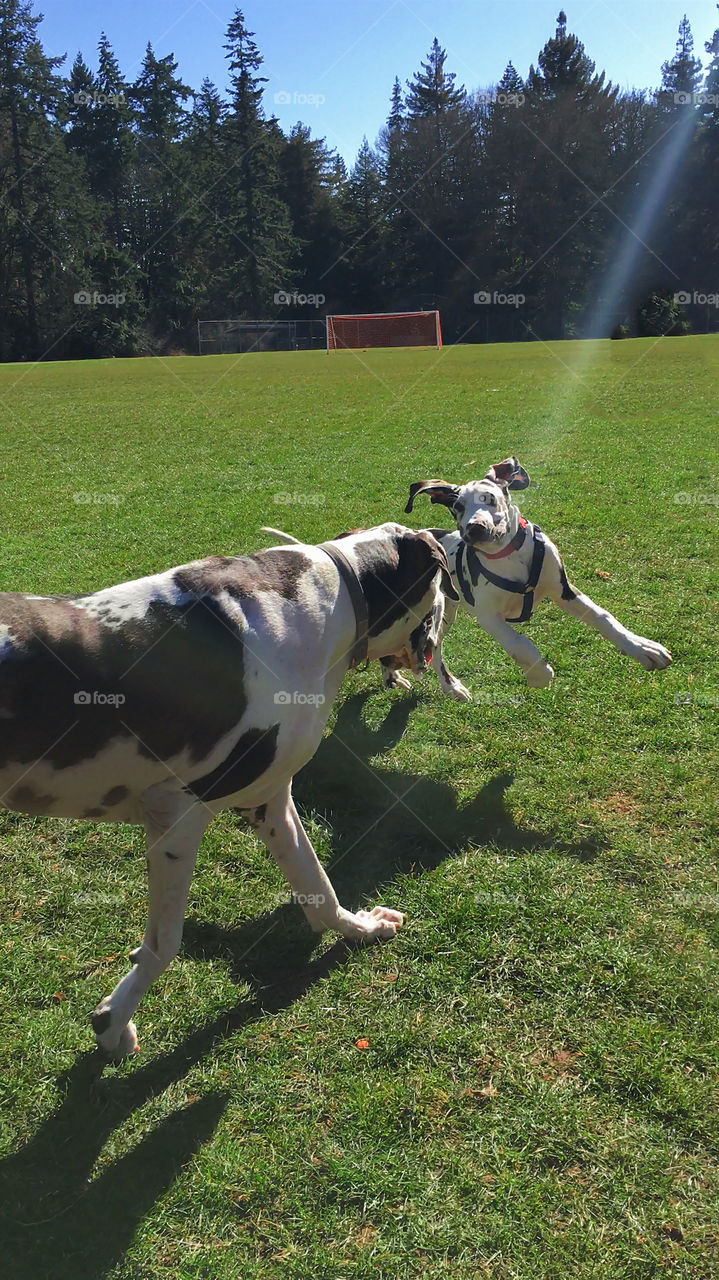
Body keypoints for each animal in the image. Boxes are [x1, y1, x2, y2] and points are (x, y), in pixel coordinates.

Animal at [0, 524, 452, 1054]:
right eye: (440, 586)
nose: (444, 627)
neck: (338, 589)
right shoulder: (177, 814)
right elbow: (164, 943)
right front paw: (114, 1020)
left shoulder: (271, 802)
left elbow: (317, 885)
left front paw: (357, 928)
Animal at [378, 458, 670, 701]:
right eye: (457, 507)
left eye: (489, 498)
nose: (474, 528)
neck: (509, 557)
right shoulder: (488, 616)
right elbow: (519, 644)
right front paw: (539, 673)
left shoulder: (564, 590)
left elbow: (604, 617)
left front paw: (642, 647)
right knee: (431, 647)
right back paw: (443, 685)